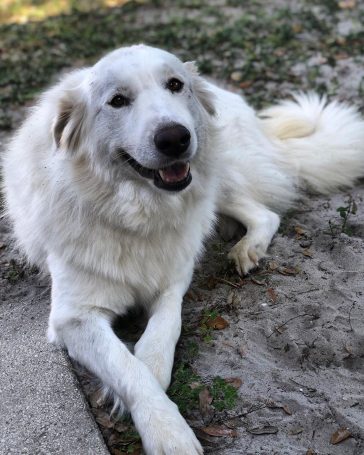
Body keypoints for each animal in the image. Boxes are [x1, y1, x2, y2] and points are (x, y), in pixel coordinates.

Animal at [2, 43, 364, 455]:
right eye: (117, 100)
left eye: (175, 84)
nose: (174, 138)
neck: (136, 214)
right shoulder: (73, 317)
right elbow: (126, 368)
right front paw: (167, 431)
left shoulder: (173, 281)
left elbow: (164, 330)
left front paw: (151, 368)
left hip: (218, 177)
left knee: (266, 213)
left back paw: (246, 249)